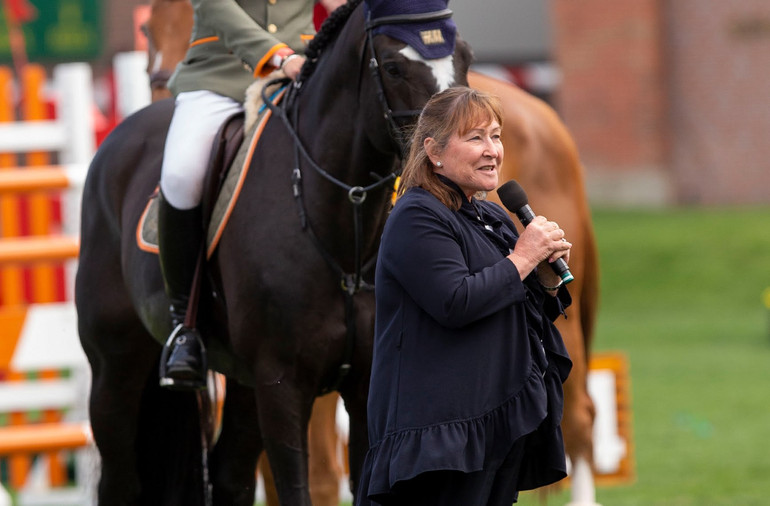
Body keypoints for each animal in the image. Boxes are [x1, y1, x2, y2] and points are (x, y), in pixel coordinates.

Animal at [79, 1, 474, 504]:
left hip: (242, 383)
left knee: (230, 475)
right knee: (121, 479)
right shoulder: (281, 384)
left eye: (464, 56)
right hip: (114, 368)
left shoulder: (364, 383)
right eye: (392, 66)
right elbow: (295, 488)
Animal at [141, 1, 596, 504]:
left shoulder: (342, 383)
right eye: (393, 66)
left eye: (466, 56)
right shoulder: (279, 377)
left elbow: (325, 475)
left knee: (580, 418)